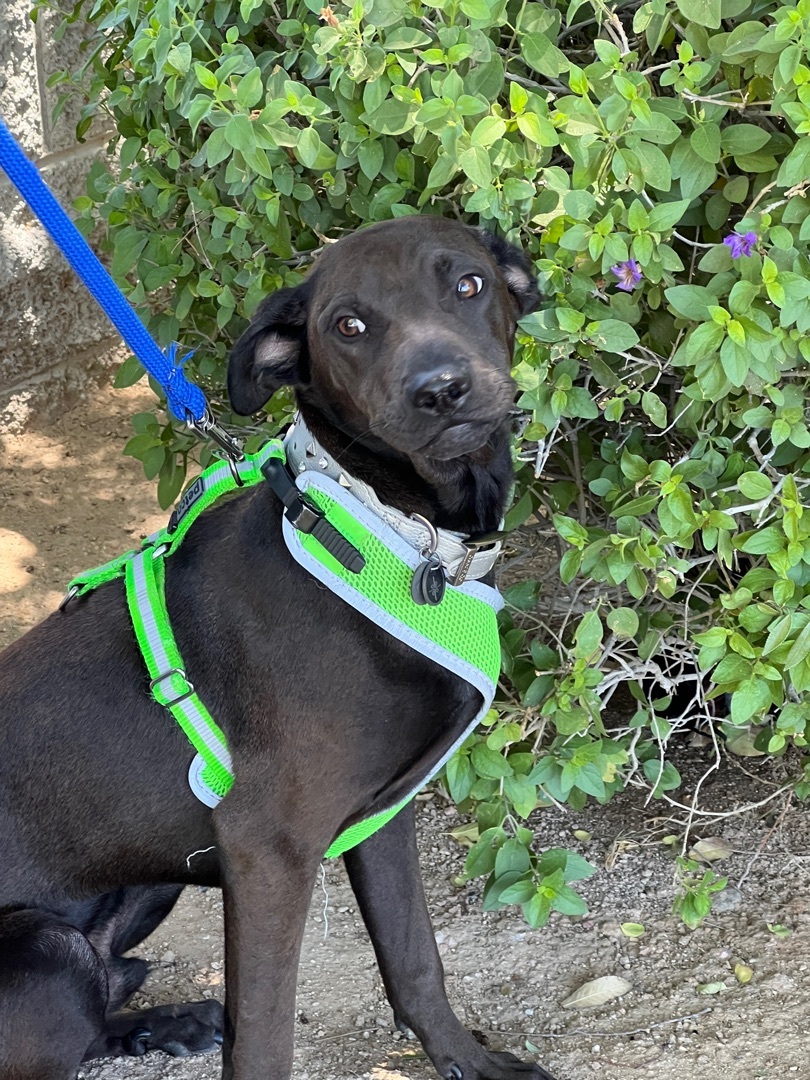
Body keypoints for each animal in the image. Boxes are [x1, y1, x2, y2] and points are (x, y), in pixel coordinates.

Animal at [0, 217, 557, 1080]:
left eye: (468, 283)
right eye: (347, 326)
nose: (439, 390)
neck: (389, 527)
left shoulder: (383, 819)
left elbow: (415, 960)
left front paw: (470, 1061)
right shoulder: (268, 848)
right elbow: (264, 1035)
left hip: (147, 881)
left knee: (106, 987)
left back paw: (170, 1025)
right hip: (45, 949)